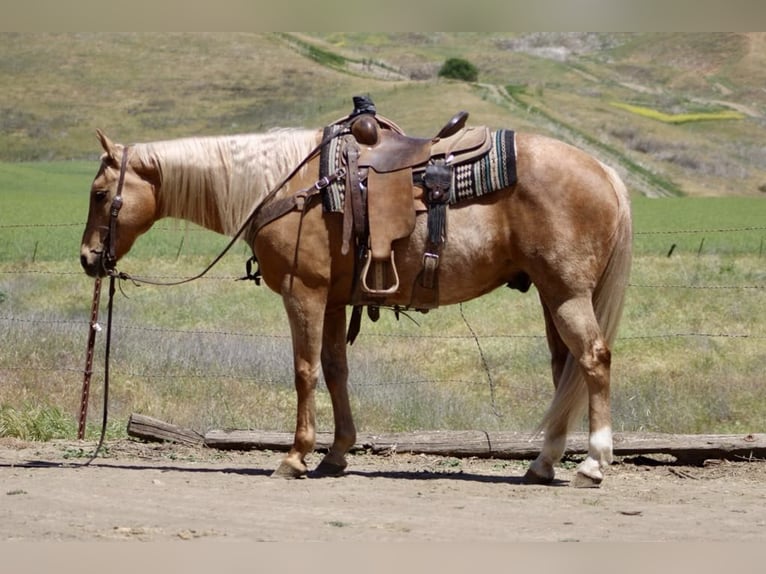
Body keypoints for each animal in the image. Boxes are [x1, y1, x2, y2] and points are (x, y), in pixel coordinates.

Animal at [80, 115, 632, 487]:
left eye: (101, 194)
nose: (88, 258)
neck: (289, 184)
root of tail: (604, 171)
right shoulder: (332, 300)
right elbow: (334, 368)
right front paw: (336, 454)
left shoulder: (303, 292)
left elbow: (304, 370)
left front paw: (295, 457)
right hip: (551, 295)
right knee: (565, 369)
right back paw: (543, 463)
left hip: (566, 293)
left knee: (593, 359)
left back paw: (592, 464)